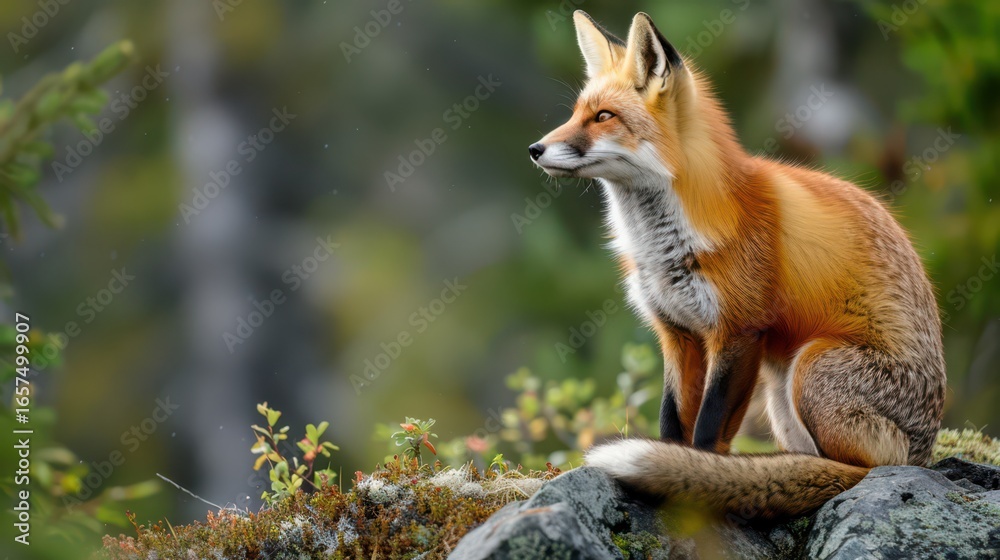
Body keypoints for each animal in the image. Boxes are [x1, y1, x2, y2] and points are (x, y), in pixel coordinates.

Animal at [528, 11, 946, 518]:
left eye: (603, 117)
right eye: (574, 114)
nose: (534, 149)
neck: (665, 247)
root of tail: (923, 453)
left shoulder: (739, 331)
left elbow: (708, 431)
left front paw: (699, 484)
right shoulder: (677, 333)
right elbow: (672, 423)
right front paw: (678, 473)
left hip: (811, 367)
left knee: (856, 468)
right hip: (780, 389)